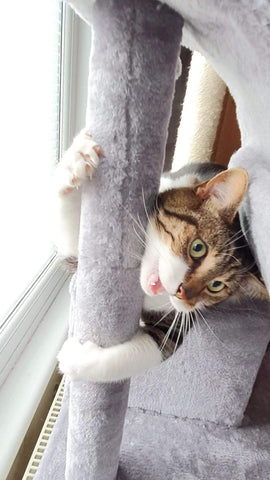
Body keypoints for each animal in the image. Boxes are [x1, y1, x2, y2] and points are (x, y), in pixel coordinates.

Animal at [56, 127, 266, 382]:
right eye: (198, 248)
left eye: (216, 286)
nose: (181, 293)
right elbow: (73, 241)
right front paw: (79, 158)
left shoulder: (174, 324)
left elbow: (154, 346)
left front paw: (76, 358)